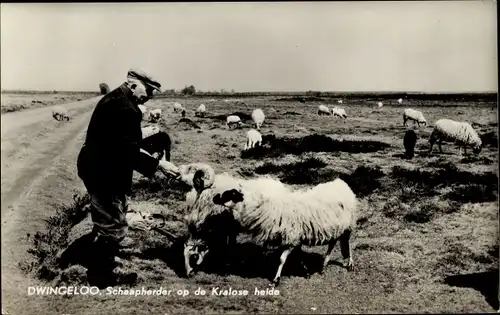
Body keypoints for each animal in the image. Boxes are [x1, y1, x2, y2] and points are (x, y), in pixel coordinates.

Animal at [182, 167, 358, 288]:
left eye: (231, 194)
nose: (188, 275)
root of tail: (341, 183)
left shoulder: (291, 237)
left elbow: (282, 259)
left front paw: (276, 280)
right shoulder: (293, 237)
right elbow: (296, 255)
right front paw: (306, 271)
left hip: (348, 226)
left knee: (347, 243)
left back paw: (349, 264)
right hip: (336, 226)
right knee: (333, 242)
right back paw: (323, 266)